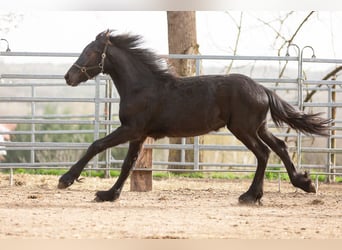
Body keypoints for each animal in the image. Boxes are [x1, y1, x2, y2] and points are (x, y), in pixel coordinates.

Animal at [59, 30, 332, 204]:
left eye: (90, 52)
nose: (68, 77)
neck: (141, 87)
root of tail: (262, 89)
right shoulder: (139, 135)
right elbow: (128, 164)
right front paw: (108, 195)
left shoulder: (131, 129)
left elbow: (97, 145)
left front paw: (66, 180)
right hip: (258, 127)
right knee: (280, 147)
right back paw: (304, 183)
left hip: (243, 129)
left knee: (263, 153)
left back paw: (249, 196)